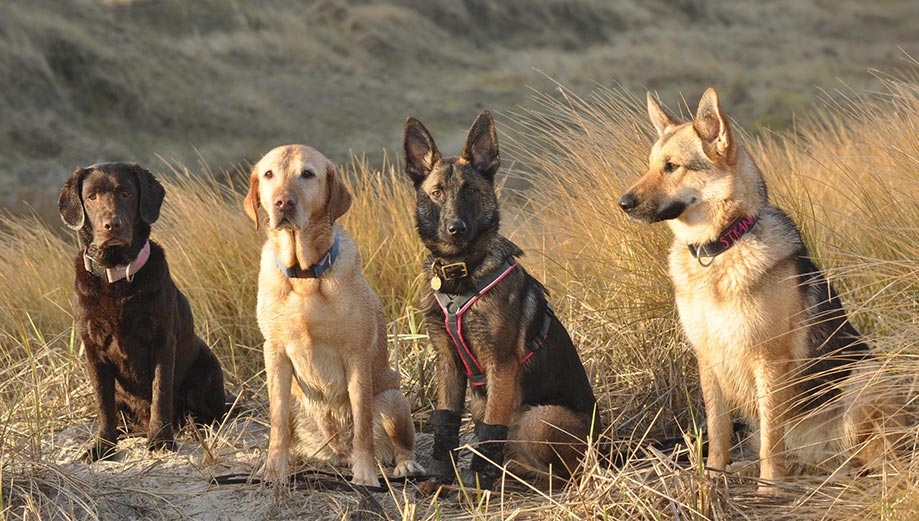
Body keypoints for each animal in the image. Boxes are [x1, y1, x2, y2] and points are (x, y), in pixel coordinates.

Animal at [406, 111, 600, 490]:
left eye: (470, 191)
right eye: (436, 193)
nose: (456, 228)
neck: (460, 275)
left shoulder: (501, 364)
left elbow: (491, 429)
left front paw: (478, 482)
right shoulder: (448, 361)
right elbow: (445, 421)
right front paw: (440, 476)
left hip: (539, 418)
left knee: (565, 472)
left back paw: (514, 476)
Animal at [620, 87, 904, 490]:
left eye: (672, 167)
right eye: (650, 165)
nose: (623, 204)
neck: (720, 247)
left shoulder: (768, 362)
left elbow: (772, 441)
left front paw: (768, 489)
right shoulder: (709, 360)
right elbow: (719, 432)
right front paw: (712, 479)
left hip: (864, 381)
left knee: (871, 456)